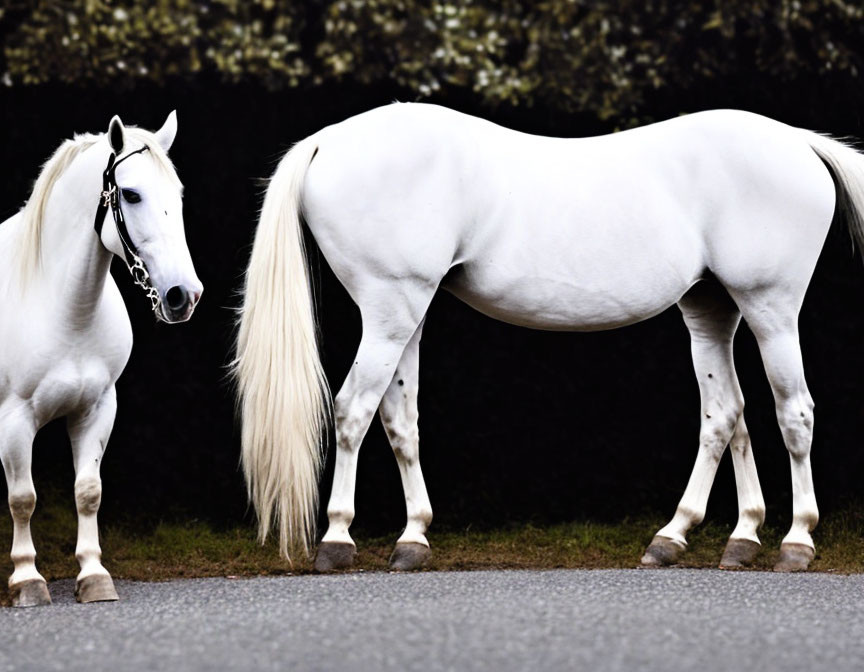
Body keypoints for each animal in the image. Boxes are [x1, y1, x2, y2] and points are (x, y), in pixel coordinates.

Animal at [0, 113, 202, 608]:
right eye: (130, 194)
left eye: (178, 195)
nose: (183, 296)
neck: (62, 307)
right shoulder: (14, 421)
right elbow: (23, 498)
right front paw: (27, 580)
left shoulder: (96, 409)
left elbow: (88, 491)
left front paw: (94, 576)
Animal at [235, 103, 864, 572]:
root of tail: (800, 143)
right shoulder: (400, 314)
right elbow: (399, 423)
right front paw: (413, 537)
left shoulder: (392, 310)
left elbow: (351, 413)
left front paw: (338, 538)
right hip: (710, 310)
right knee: (727, 414)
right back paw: (710, 537)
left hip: (771, 307)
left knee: (792, 413)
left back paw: (795, 542)